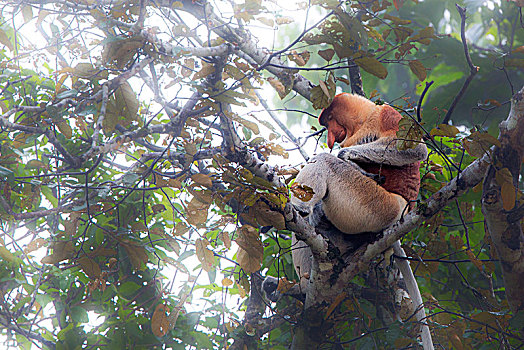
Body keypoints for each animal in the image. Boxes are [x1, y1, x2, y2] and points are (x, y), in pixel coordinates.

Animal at [290, 93, 434, 350]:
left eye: (329, 119)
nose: (330, 138)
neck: (364, 120)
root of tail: (402, 211)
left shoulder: (387, 114)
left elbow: (414, 148)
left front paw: (344, 155)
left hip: (376, 206)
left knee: (325, 162)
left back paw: (301, 208)